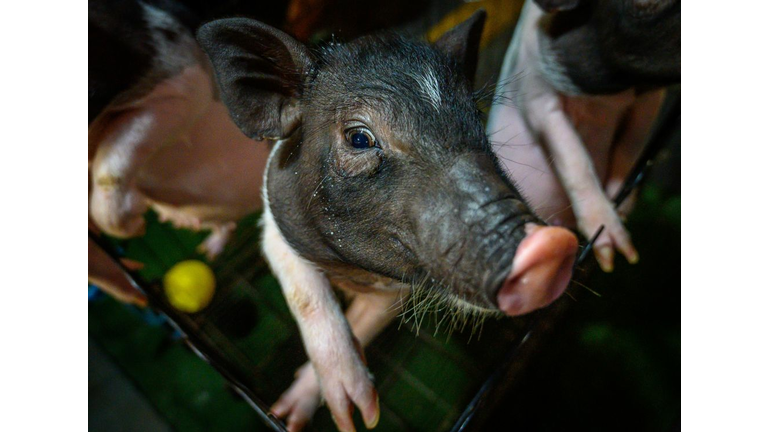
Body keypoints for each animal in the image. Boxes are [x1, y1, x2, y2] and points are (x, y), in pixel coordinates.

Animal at [198, 11, 579, 431]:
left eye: (475, 119)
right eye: (359, 139)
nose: (551, 247)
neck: (353, 275)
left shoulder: (396, 292)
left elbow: (365, 324)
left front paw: (362, 416)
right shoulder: (272, 221)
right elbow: (306, 293)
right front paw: (311, 416)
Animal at [487, 0, 680, 272]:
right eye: (645, 4)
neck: (613, 95)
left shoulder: (648, 101)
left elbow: (630, 148)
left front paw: (621, 209)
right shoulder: (536, 93)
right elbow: (574, 159)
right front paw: (612, 251)